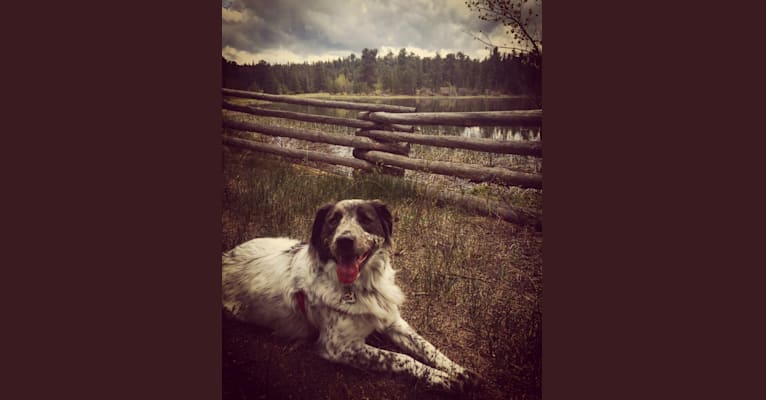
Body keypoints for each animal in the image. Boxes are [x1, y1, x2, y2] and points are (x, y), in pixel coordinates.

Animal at [222, 198, 484, 392]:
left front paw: (458, 371)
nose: (344, 241)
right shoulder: (339, 347)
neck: (363, 286)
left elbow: (427, 346)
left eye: (366, 219)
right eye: (332, 221)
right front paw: (441, 379)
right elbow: (400, 358)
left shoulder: (393, 321)